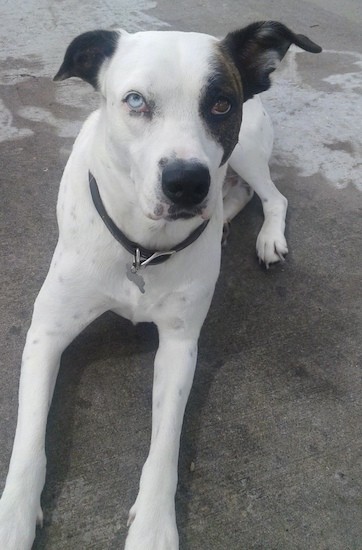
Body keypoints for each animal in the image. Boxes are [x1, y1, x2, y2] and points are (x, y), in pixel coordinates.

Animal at [0, 22, 322, 550]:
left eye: (221, 104)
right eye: (135, 100)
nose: (187, 182)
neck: (142, 249)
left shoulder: (179, 345)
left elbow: (165, 445)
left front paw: (153, 525)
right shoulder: (46, 334)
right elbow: (29, 437)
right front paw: (14, 516)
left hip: (246, 151)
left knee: (272, 195)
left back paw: (267, 237)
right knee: (238, 192)